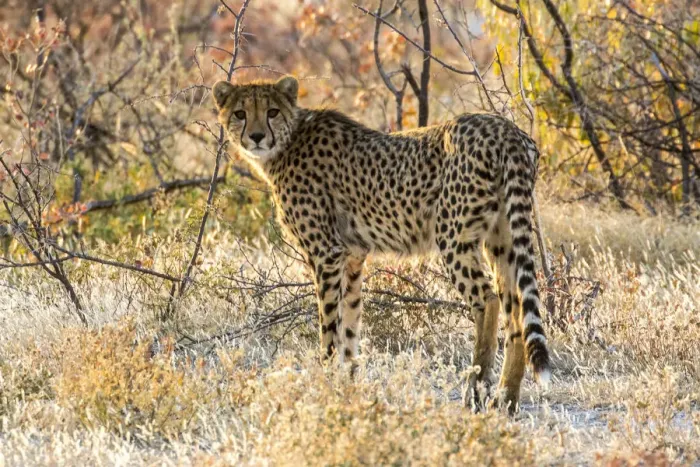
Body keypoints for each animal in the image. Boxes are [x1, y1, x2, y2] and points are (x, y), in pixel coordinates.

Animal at [212, 76, 551, 412]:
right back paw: (506, 398)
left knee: (488, 300)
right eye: (240, 113)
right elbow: (350, 324)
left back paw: (476, 391)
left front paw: (325, 384)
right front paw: (348, 386)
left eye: (272, 111)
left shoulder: (326, 254)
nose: (256, 137)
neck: (288, 140)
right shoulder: (351, 256)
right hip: (501, 238)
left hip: (453, 236)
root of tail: (504, 128)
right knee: (516, 310)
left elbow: (329, 328)